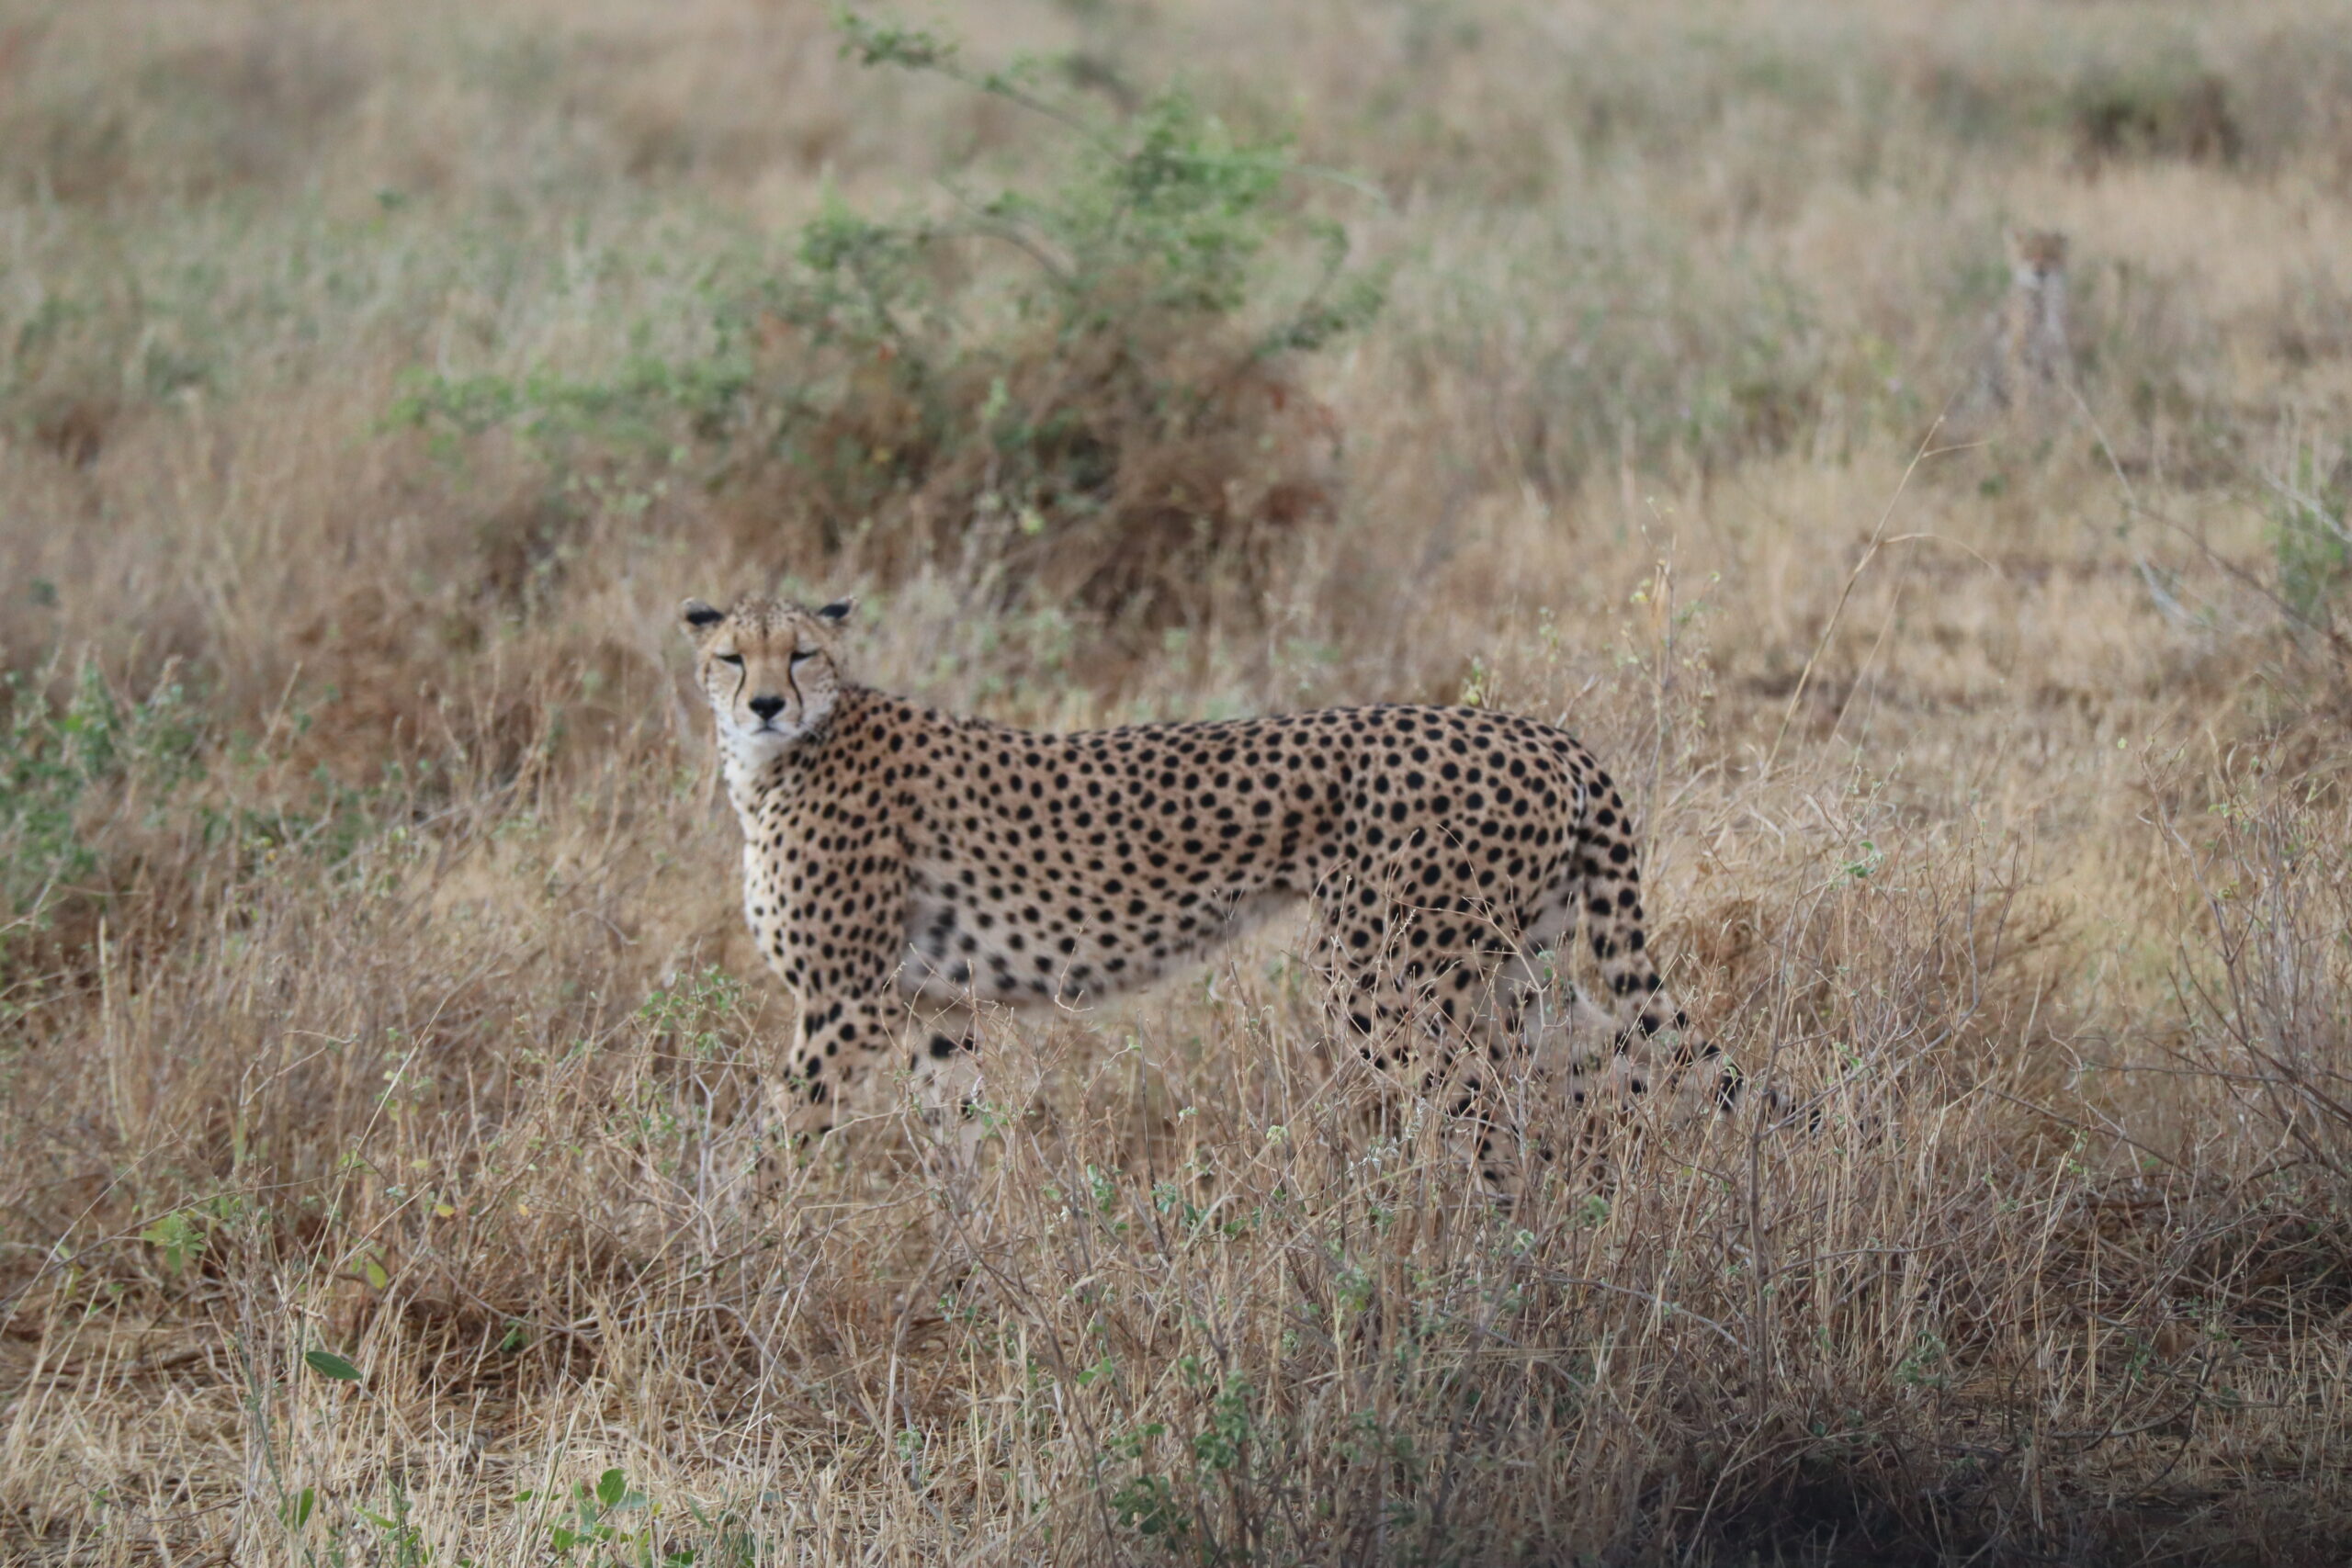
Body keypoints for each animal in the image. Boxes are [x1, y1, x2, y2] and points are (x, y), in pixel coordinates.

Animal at [682, 593, 1745, 1184]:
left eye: (801, 652)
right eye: (731, 656)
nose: (765, 702)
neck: (778, 758)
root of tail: (1542, 733)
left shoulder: (847, 1003)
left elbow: (769, 1145)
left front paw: (729, 1258)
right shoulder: (936, 1008)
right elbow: (955, 1146)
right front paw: (973, 1269)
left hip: (1388, 979)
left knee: (1489, 1116)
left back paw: (1486, 1270)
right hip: (1517, 975)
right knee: (1623, 1075)